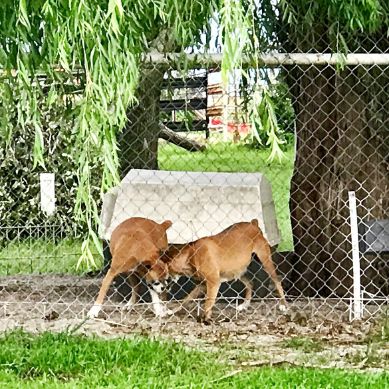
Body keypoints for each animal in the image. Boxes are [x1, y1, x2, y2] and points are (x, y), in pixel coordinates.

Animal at [150, 220, 286, 322]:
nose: (151, 281)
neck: (191, 255)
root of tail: (253, 223)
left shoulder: (213, 282)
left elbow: (208, 303)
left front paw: (205, 319)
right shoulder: (202, 284)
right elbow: (186, 299)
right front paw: (171, 310)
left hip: (265, 261)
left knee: (277, 282)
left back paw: (283, 305)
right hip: (237, 270)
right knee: (250, 283)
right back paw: (244, 305)